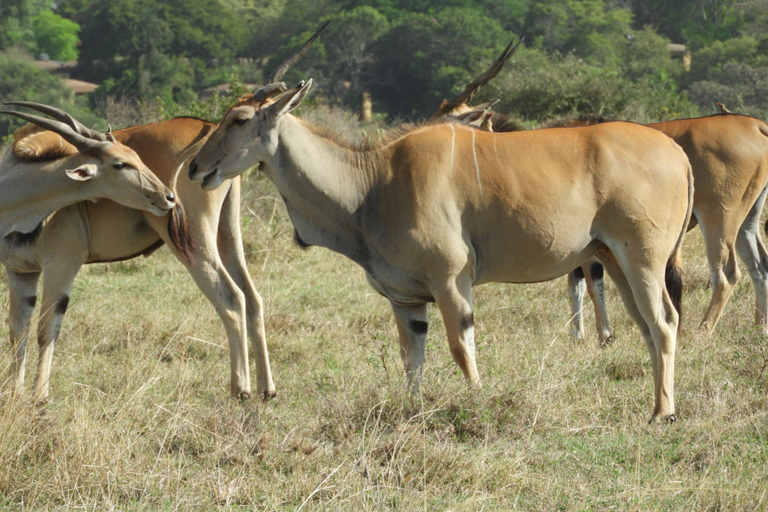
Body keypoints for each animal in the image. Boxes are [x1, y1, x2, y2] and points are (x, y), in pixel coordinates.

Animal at [188, 79, 696, 424]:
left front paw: (478, 406)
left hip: (642, 259)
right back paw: (658, 405)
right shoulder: (406, 299)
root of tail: (677, 154)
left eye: (238, 120)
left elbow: (460, 348)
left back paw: (663, 414)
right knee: (649, 327)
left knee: (665, 321)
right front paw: (414, 413)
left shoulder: (452, 282)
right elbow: (412, 359)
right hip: (614, 261)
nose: (194, 167)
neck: (373, 183)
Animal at [436, 42, 768, 342]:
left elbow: (592, 284)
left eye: (451, 121)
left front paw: (603, 335)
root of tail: (756, 126)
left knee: (727, 273)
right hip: (747, 220)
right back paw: (758, 327)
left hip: (719, 217)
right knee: (760, 266)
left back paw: (703, 330)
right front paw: (579, 335)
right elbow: (576, 284)